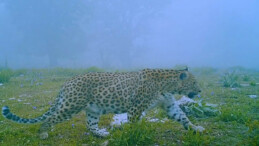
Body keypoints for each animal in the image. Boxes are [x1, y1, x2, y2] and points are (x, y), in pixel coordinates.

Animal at [2, 67, 205, 139]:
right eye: (194, 82)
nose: (200, 91)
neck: (169, 86)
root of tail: (67, 82)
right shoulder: (135, 108)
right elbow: (134, 124)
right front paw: (133, 135)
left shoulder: (170, 105)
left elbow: (183, 118)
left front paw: (196, 128)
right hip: (71, 105)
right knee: (50, 118)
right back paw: (43, 133)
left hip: (93, 109)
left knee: (90, 125)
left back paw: (101, 134)